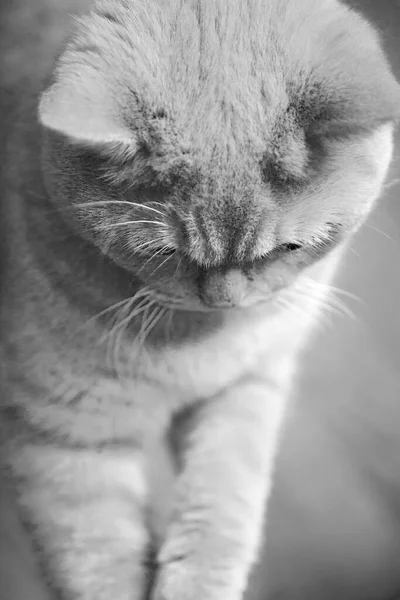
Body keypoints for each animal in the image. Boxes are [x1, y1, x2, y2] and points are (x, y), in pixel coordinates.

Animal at [0, 0, 398, 596]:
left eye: (291, 248)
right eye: (165, 253)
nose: (225, 300)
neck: (195, 343)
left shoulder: (247, 385)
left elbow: (222, 502)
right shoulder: (65, 442)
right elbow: (98, 564)